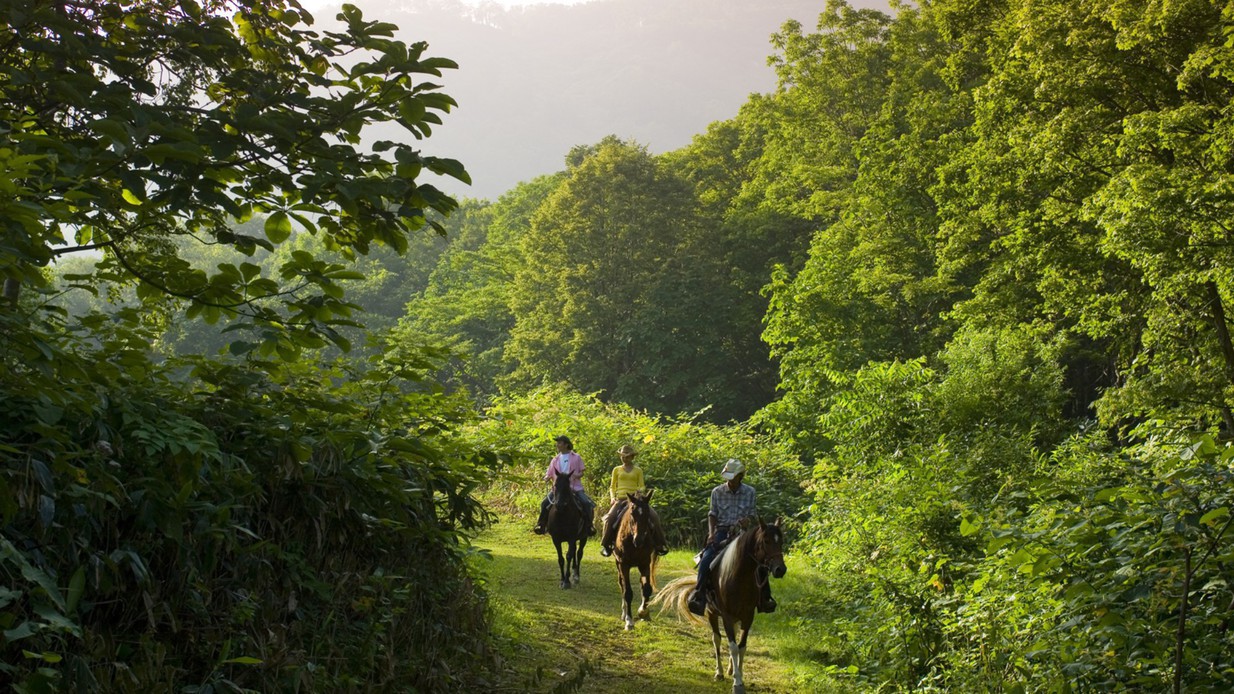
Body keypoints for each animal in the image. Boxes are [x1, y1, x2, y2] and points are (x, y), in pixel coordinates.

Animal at [612, 486, 661, 627]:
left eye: (647, 514)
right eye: (632, 513)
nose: (638, 540)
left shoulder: (645, 563)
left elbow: (647, 589)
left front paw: (643, 612)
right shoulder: (623, 564)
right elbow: (627, 592)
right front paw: (629, 621)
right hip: (618, 564)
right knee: (622, 585)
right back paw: (624, 614)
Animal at [651, 516, 784, 686]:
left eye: (781, 541)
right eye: (766, 540)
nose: (780, 569)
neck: (740, 578)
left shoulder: (748, 616)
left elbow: (741, 646)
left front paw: (739, 674)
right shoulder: (726, 616)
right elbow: (732, 646)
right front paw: (737, 682)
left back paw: (730, 669)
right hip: (712, 613)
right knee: (717, 639)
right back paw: (719, 672)